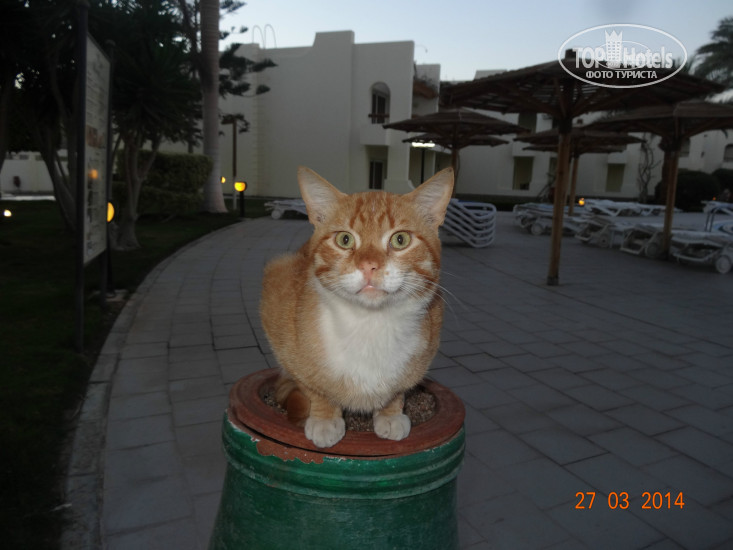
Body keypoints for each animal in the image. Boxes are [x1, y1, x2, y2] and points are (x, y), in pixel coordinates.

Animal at [260, 166, 454, 448]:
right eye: (344, 239)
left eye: (400, 239)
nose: (369, 266)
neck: (370, 324)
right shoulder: (277, 299)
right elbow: (314, 387)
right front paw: (325, 419)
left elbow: (398, 389)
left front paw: (390, 413)